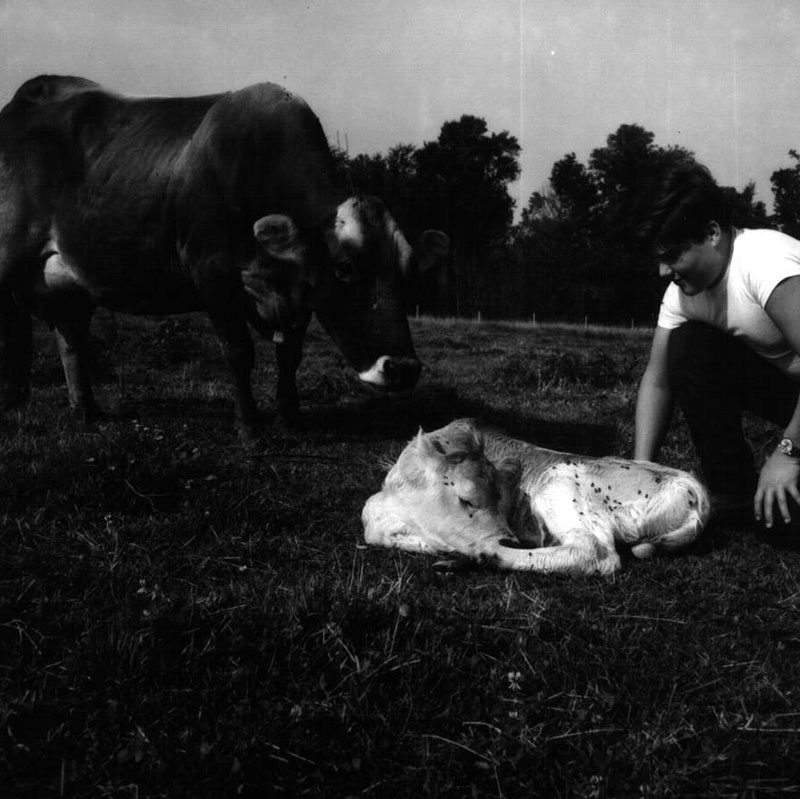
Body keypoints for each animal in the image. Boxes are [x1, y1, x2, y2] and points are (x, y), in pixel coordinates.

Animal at [0, 76, 450, 438]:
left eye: (408, 271)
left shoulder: (298, 291)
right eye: (344, 267)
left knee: (71, 338)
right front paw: (249, 428)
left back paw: (87, 411)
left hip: (70, 279)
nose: (403, 369)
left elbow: (290, 355)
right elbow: (238, 352)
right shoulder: (212, 274)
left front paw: (289, 420)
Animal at [360, 418, 708, 576]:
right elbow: (370, 519)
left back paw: (486, 555)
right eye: (466, 498)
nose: (509, 538)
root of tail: (692, 485)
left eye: (505, 500)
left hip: (558, 482)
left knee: (594, 551)